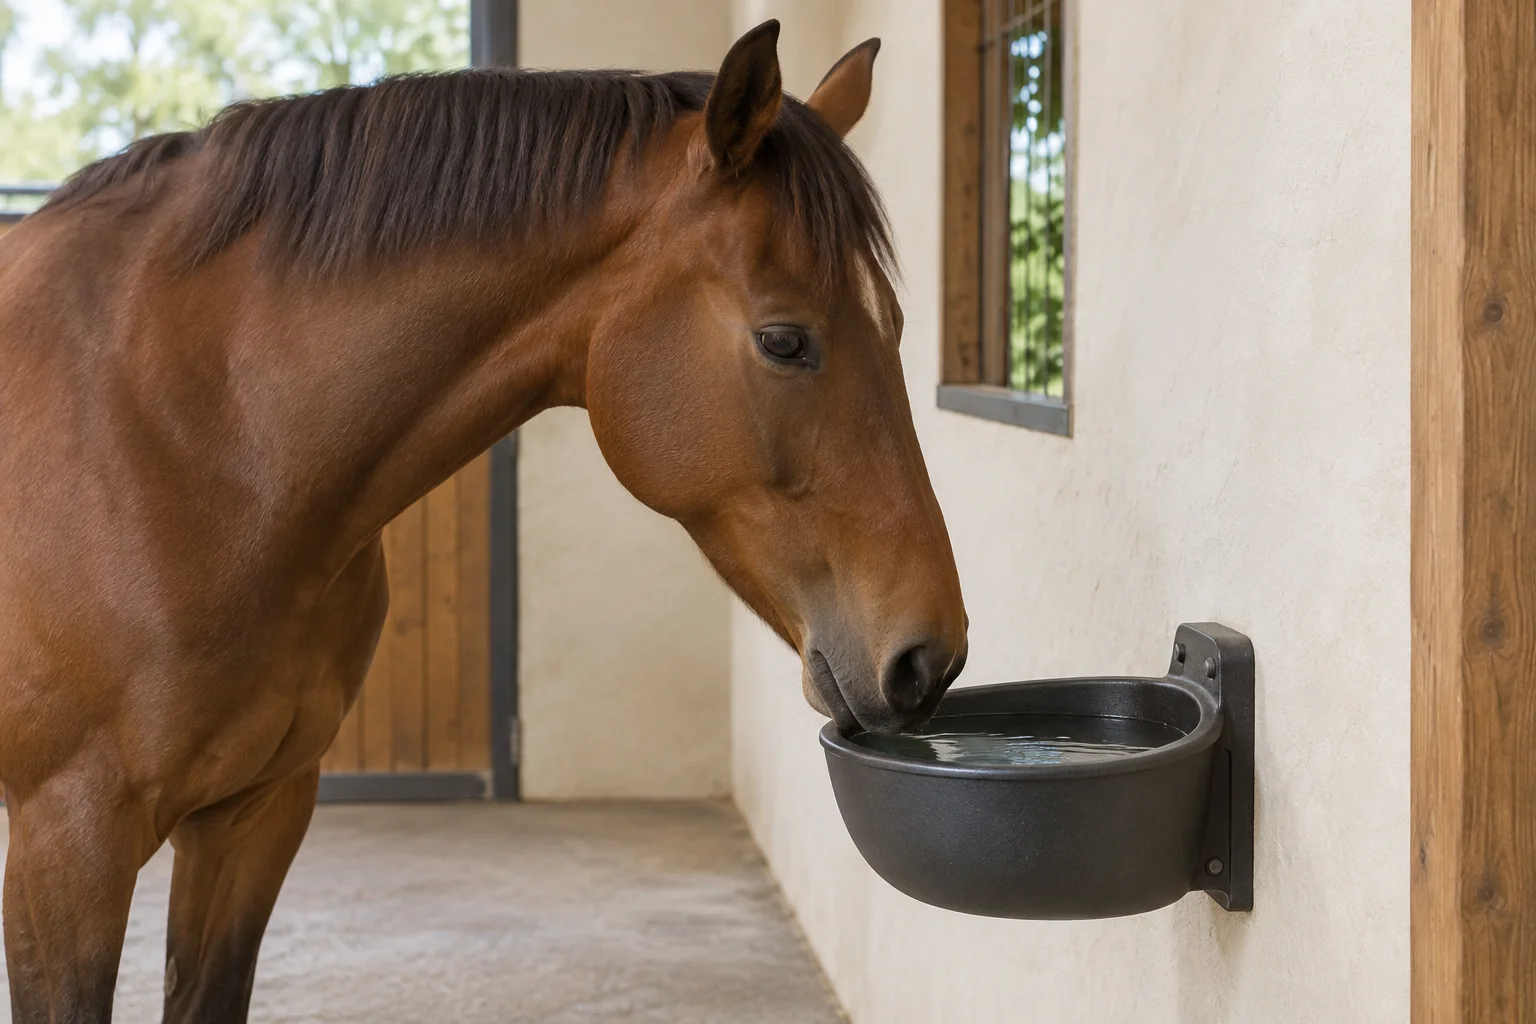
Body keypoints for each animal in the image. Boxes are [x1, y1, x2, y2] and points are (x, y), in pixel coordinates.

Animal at [0, 20, 967, 1022]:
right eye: (784, 340)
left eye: (897, 327)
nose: (927, 658)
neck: (193, 435)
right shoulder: (66, 846)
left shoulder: (255, 814)